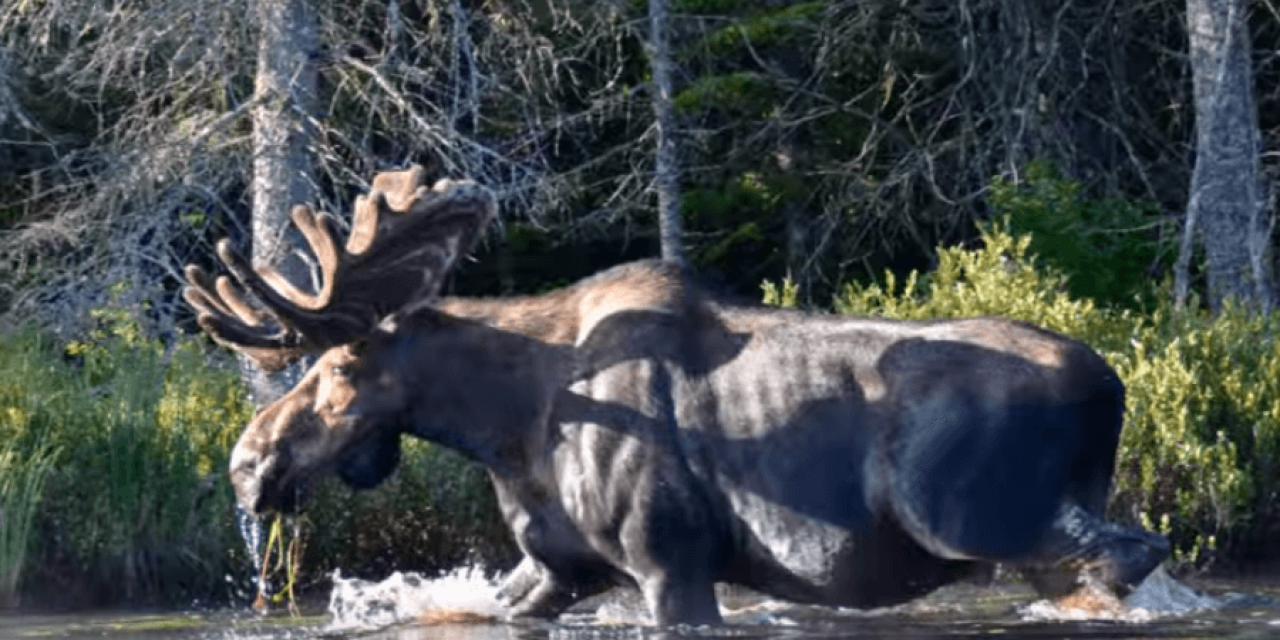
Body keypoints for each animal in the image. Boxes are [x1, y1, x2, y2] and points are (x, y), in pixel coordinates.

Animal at [186, 165, 1172, 624]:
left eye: (335, 371)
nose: (246, 464)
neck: (503, 430)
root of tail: (1114, 384)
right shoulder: (560, 566)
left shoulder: (669, 560)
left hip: (978, 517)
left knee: (1133, 551)